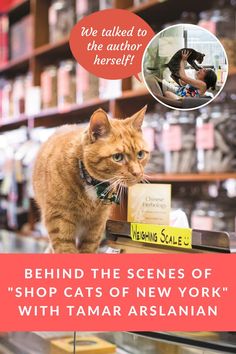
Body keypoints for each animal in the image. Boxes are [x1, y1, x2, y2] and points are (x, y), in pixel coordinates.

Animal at [32, 106, 149, 253]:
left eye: (140, 154)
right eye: (117, 157)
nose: (137, 173)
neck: (93, 183)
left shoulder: (96, 225)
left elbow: (88, 248)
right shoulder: (59, 220)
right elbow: (65, 249)